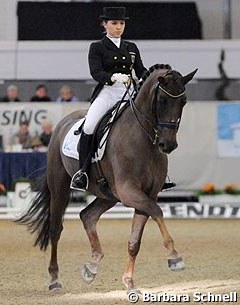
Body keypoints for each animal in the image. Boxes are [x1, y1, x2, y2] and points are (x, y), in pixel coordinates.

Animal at [16, 64, 197, 292]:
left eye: (183, 101)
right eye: (163, 100)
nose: (169, 145)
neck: (143, 138)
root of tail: (63, 123)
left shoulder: (147, 194)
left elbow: (135, 241)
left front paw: (129, 282)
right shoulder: (129, 191)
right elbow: (157, 211)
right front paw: (175, 258)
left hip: (108, 194)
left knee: (87, 215)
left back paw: (91, 267)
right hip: (60, 188)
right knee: (56, 228)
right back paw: (54, 280)